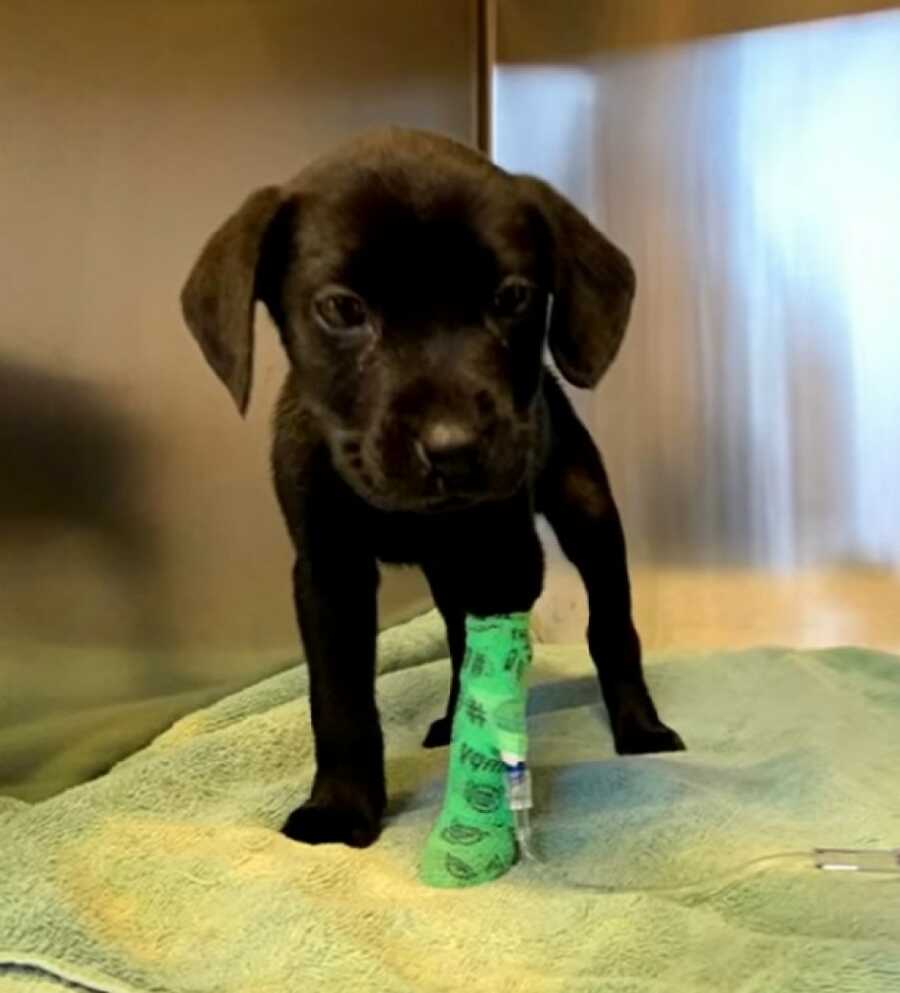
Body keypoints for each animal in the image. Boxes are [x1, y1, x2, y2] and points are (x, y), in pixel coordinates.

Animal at [181, 128, 684, 848]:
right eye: (341, 308)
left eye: (512, 297)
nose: (454, 447)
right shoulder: (328, 572)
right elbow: (339, 699)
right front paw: (342, 807)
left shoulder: (507, 561)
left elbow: (494, 684)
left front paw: (486, 801)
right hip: (452, 573)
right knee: (453, 640)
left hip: (587, 513)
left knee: (611, 628)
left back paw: (640, 727)